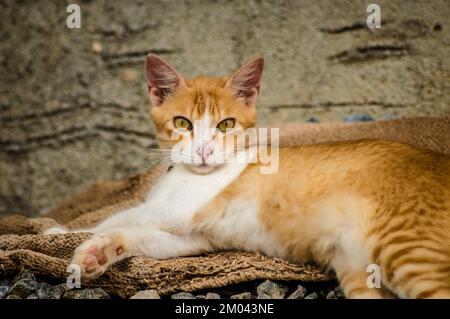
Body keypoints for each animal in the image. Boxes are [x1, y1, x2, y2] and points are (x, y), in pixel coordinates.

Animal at [43, 53, 450, 300]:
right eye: (182, 123)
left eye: (225, 125)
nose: (204, 150)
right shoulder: (194, 239)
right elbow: (139, 235)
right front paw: (98, 252)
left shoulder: (175, 210)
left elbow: (116, 216)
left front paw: (57, 232)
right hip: (357, 269)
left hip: (404, 246)